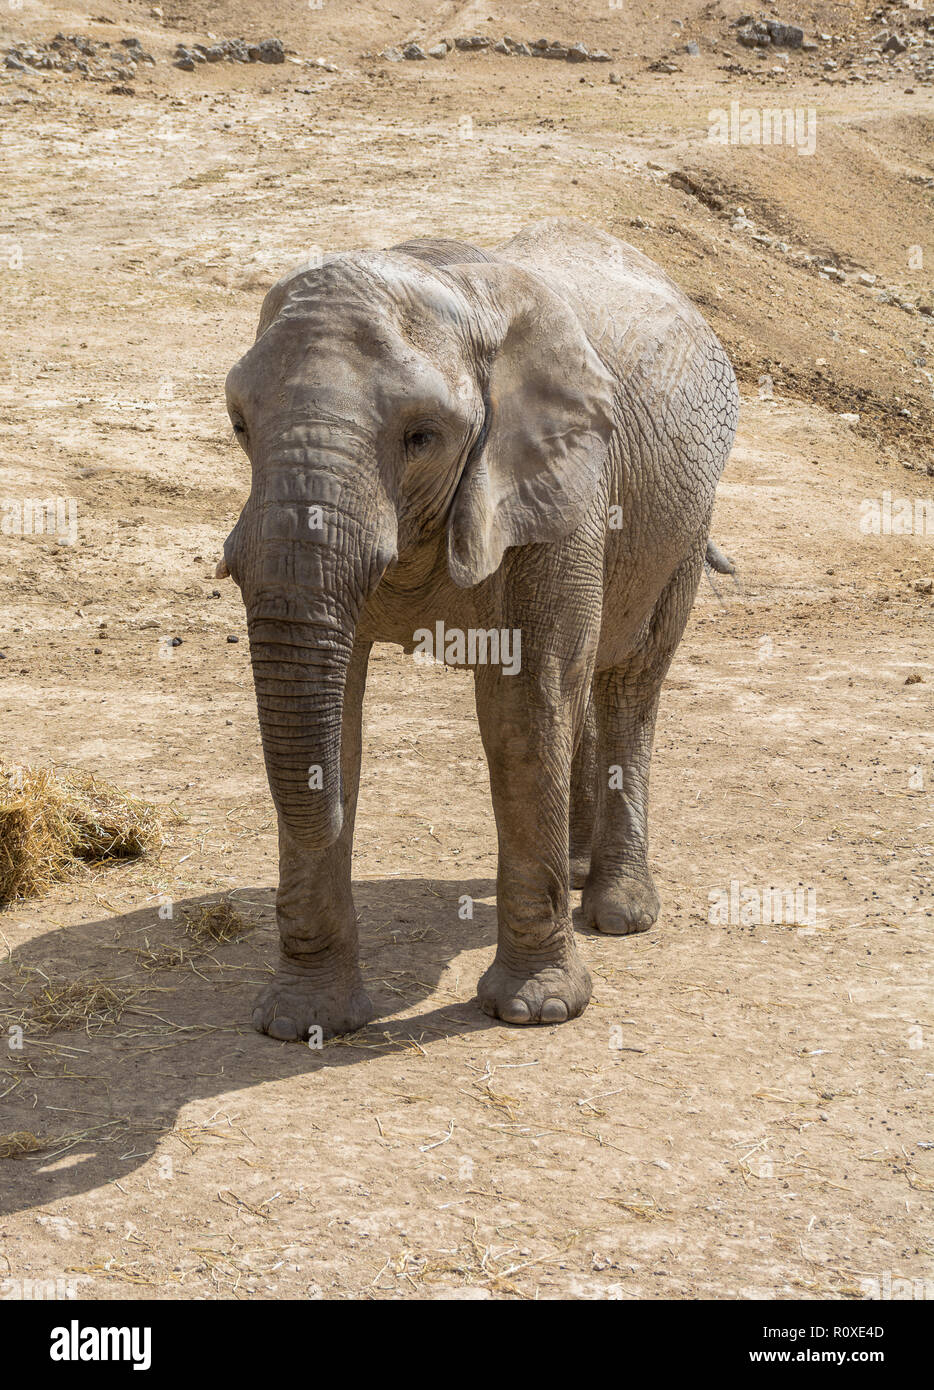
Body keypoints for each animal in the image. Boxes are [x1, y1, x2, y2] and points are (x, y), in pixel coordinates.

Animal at [217, 217, 738, 1039]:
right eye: (240, 424)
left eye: (422, 437)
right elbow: (344, 718)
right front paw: (303, 1024)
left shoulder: (561, 485)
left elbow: (523, 705)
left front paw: (536, 1011)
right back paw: (580, 870)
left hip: (684, 520)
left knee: (627, 679)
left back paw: (620, 912)